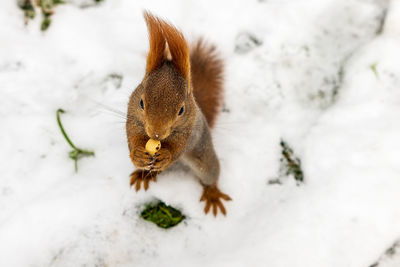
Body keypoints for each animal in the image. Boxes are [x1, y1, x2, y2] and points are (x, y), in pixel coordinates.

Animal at [125, 13, 231, 218]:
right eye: (141, 103)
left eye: (181, 110)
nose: (156, 134)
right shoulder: (131, 115)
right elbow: (132, 135)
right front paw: (137, 153)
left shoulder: (190, 130)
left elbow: (179, 146)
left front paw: (167, 155)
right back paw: (143, 174)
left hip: (204, 159)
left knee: (211, 174)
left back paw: (212, 193)